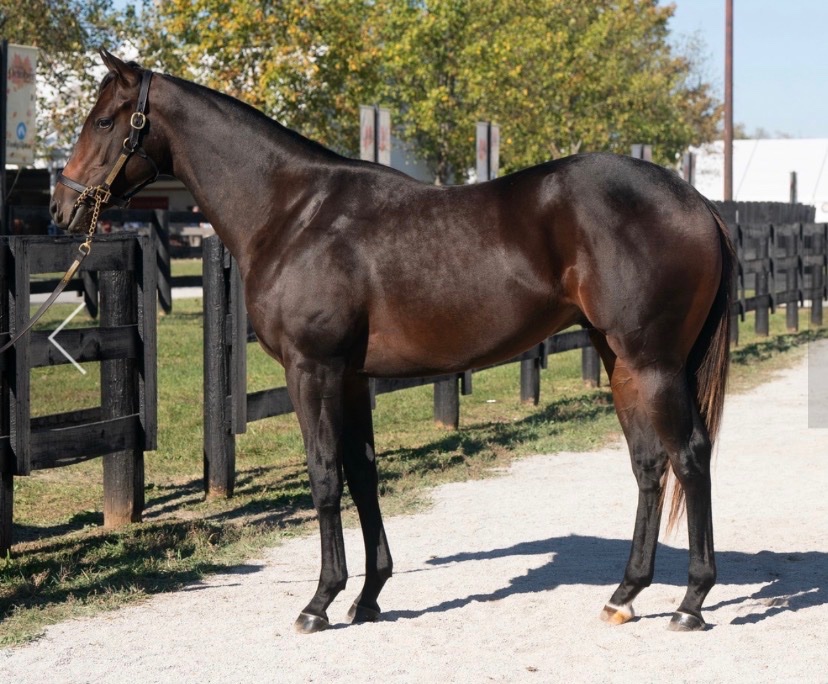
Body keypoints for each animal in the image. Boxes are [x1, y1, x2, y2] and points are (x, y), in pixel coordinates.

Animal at [51, 49, 735, 633]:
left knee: (690, 455)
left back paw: (691, 602)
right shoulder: (352, 378)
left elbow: (325, 476)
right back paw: (625, 595)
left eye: (105, 120)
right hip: (623, 362)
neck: (294, 213)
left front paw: (319, 602)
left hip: (654, 363)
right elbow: (363, 473)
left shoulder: (312, 370)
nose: (61, 208)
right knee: (649, 464)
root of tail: (694, 200)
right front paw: (369, 596)